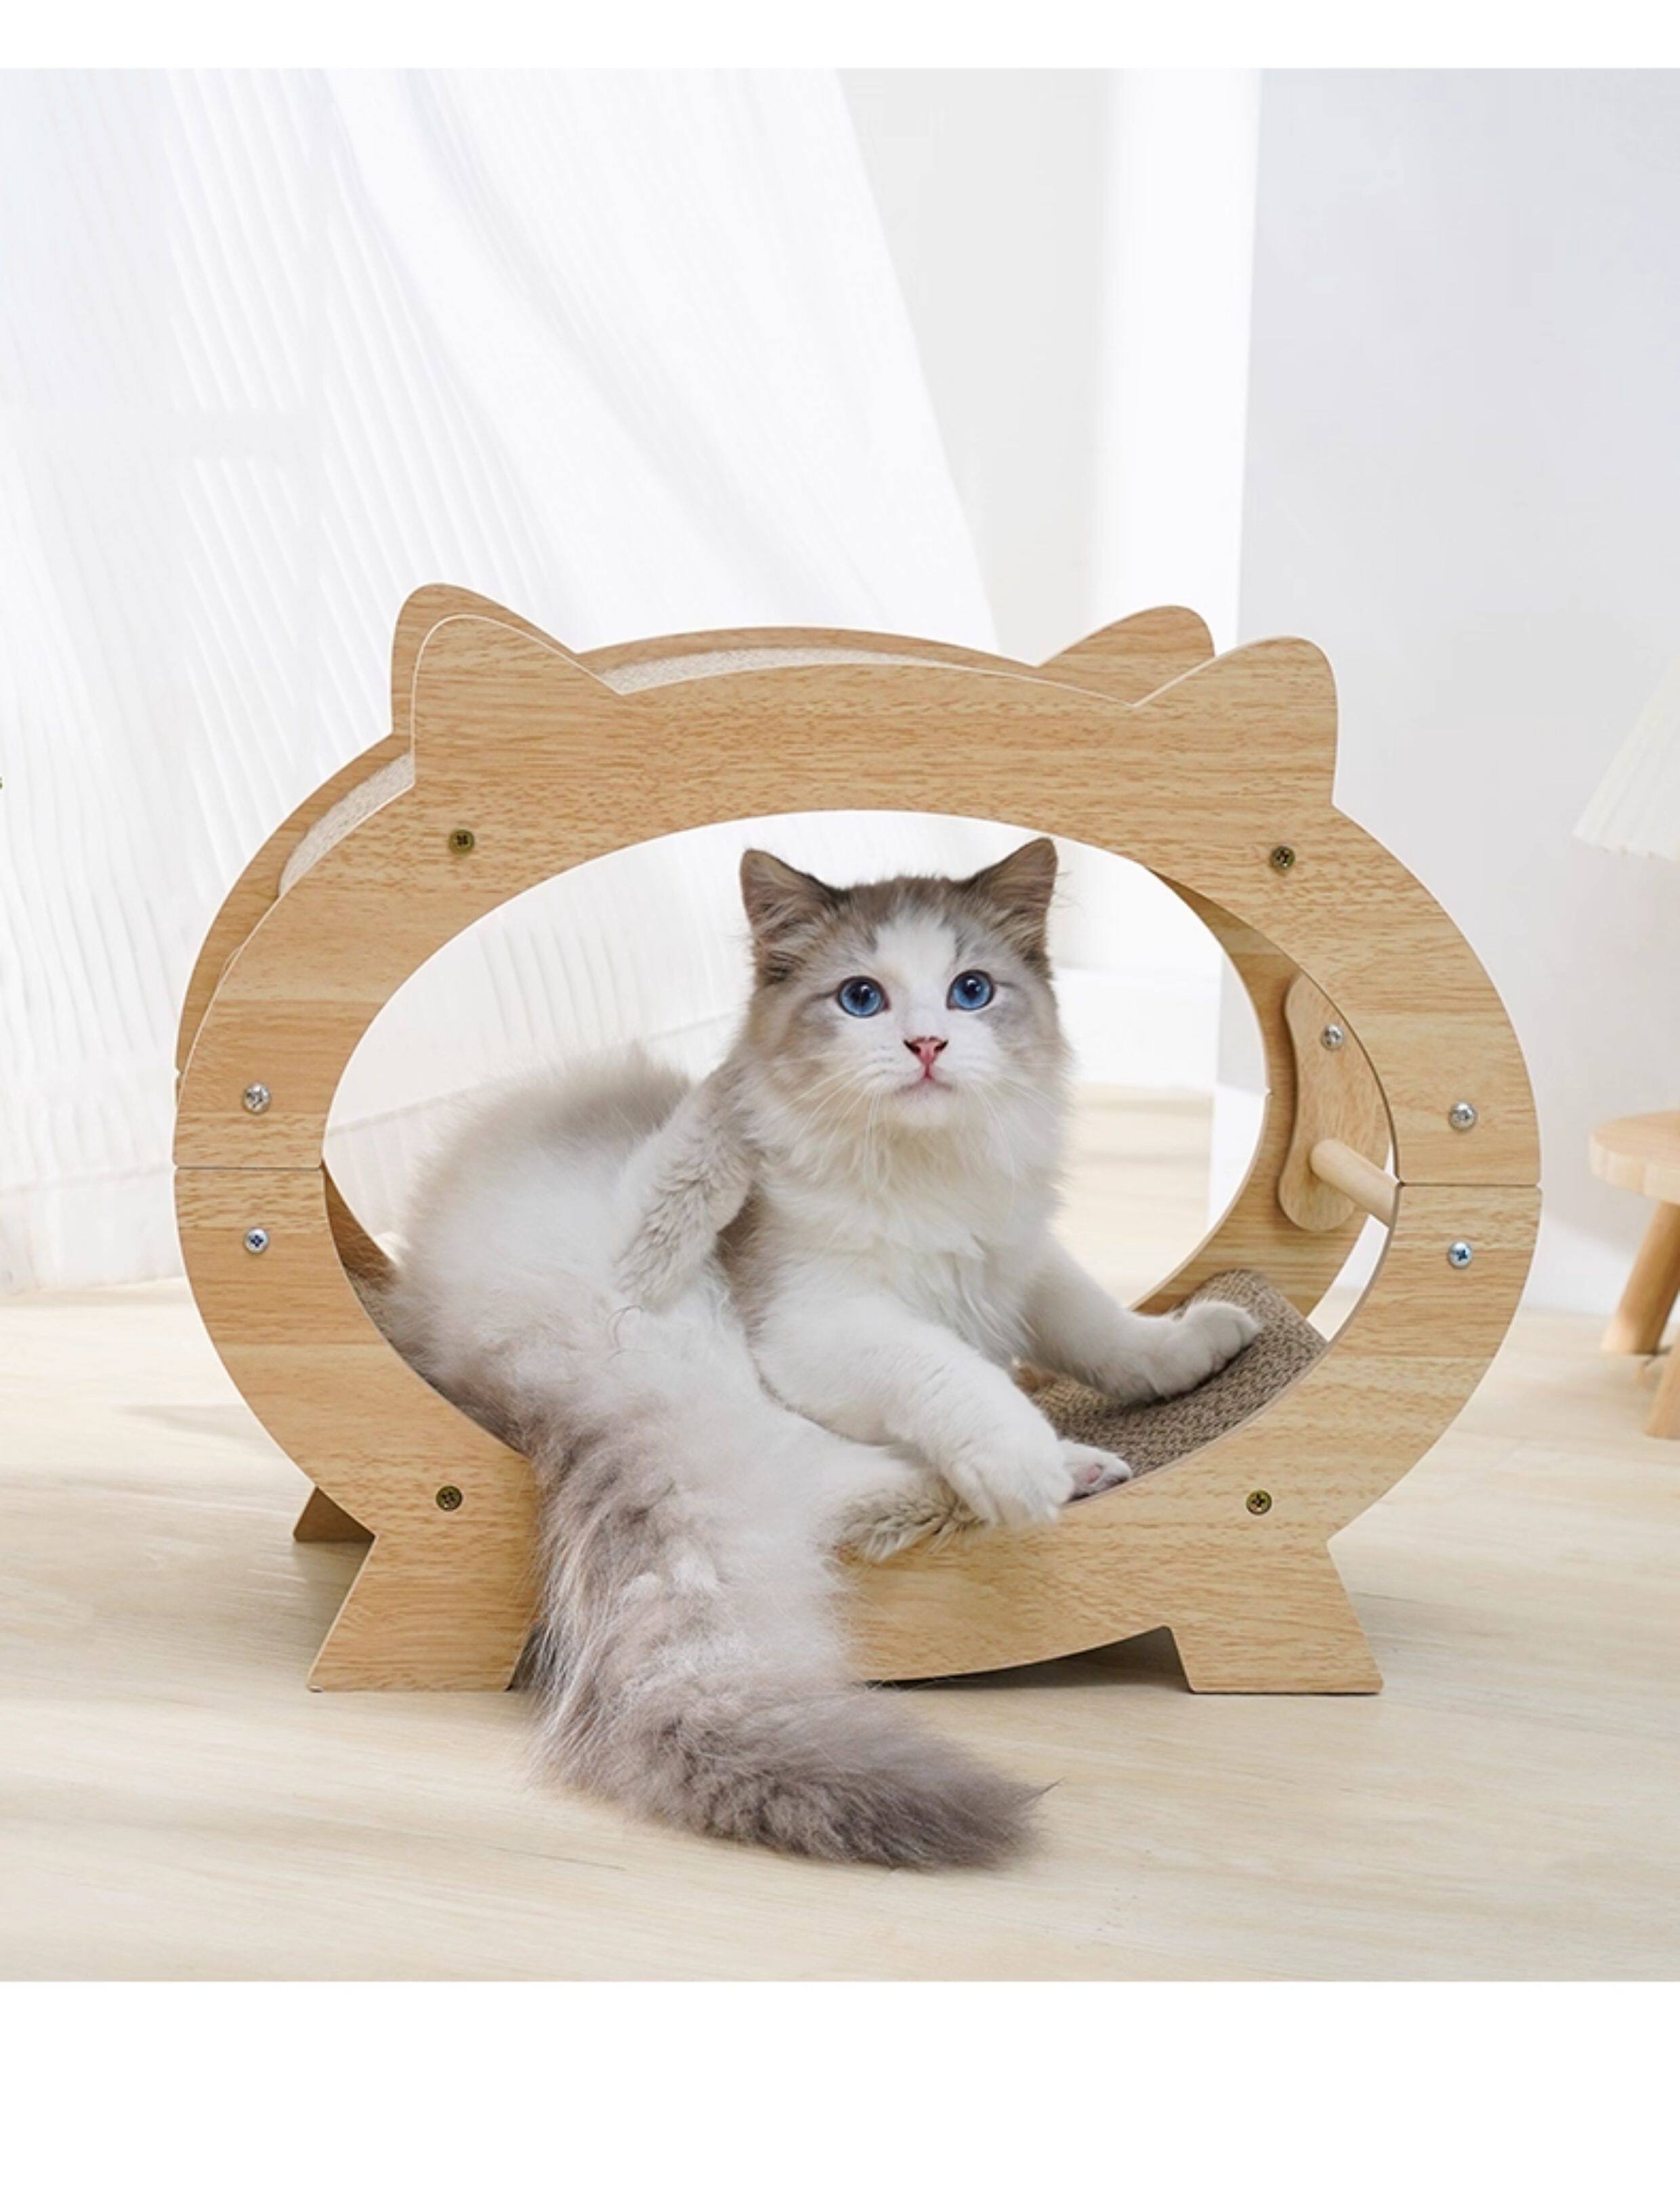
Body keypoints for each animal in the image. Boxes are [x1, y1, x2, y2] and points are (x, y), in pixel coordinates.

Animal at [383, 837, 1258, 1867]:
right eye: (861, 999)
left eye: (969, 992)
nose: (926, 1047)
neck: (924, 1176)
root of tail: (443, 1315)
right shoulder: (820, 1323)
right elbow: (951, 1372)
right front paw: (1016, 1458)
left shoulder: (1013, 1259)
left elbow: (1099, 1327)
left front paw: (1194, 1345)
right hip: (672, 1315)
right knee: (671, 1246)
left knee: (825, 1492)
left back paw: (1072, 1469)